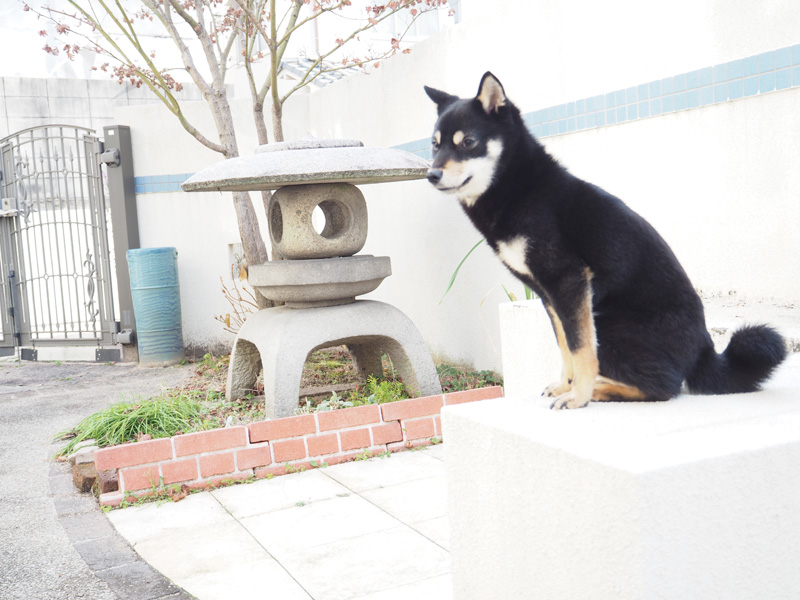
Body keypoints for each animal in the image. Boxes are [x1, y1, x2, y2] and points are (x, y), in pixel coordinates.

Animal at [424, 70, 788, 408]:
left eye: (467, 142)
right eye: (435, 144)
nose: (432, 175)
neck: (518, 187)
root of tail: (704, 351)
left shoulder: (569, 281)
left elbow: (581, 347)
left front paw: (578, 396)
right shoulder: (550, 294)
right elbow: (565, 344)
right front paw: (566, 385)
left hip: (609, 321)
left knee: (666, 386)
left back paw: (601, 390)